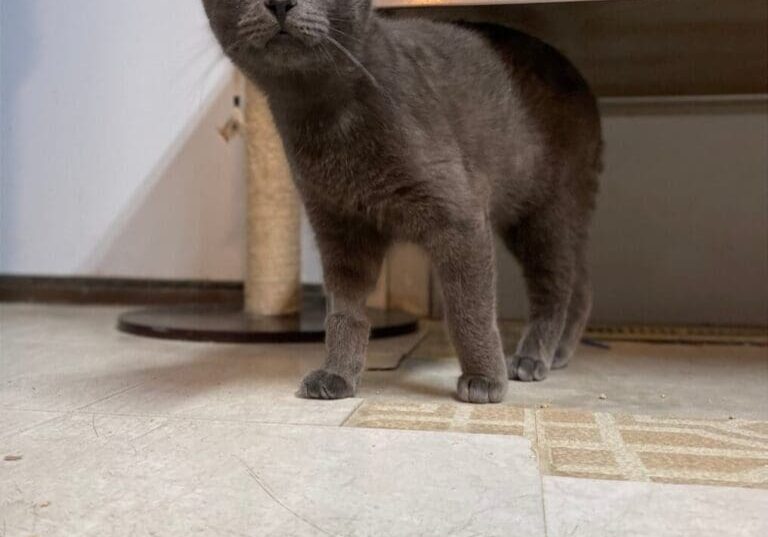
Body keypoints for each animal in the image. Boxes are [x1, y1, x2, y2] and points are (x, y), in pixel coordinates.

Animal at [202, 0, 600, 402]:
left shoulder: (459, 215)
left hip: (546, 210)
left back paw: (532, 357)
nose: (280, 2)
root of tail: (578, 74)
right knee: (580, 283)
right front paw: (337, 373)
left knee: (556, 285)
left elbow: (468, 308)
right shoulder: (337, 226)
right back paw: (560, 352)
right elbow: (343, 312)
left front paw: (485, 379)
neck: (325, 119)